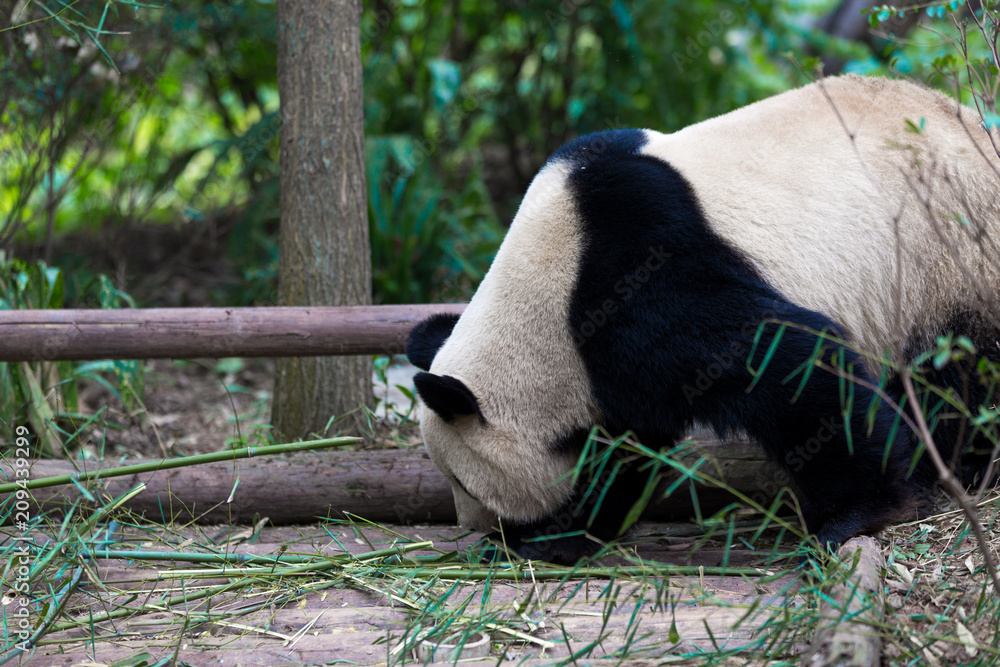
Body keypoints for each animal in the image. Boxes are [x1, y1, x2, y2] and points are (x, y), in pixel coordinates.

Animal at [402, 74, 996, 564]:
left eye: (464, 482)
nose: (475, 528)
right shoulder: (613, 370)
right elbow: (620, 449)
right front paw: (566, 534)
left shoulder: (641, 275)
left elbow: (784, 358)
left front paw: (862, 511)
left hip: (947, 253)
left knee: (955, 371)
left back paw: (956, 467)